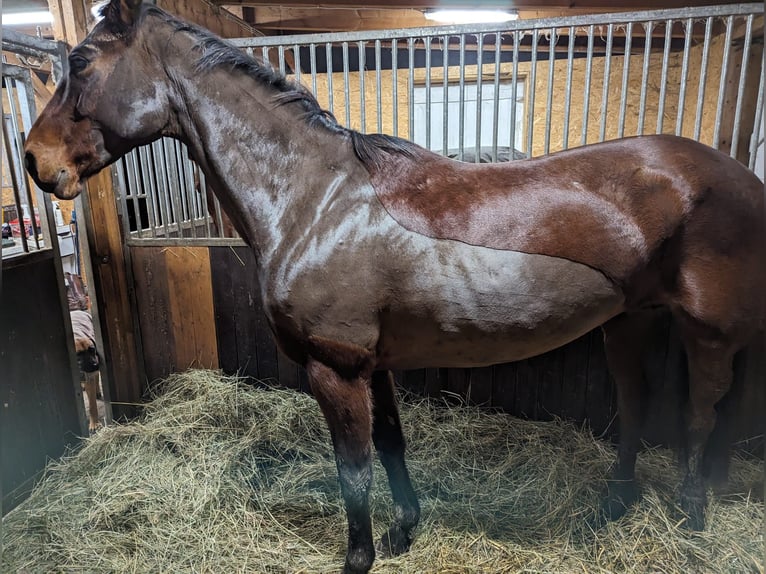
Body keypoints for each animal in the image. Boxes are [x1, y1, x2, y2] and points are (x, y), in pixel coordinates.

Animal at [24, 2, 766, 572]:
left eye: (81, 63)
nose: (35, 162)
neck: (315, 201)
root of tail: (740, 177)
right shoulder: (371, 364)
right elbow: (390, 443)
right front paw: (404, 529)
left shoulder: (336, 369)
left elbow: (353, 468)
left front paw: (360, 556)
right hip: (630, 320)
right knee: (638, 407)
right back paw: (614, 508)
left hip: (707, 334)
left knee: (700, 418)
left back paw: (692, 521)